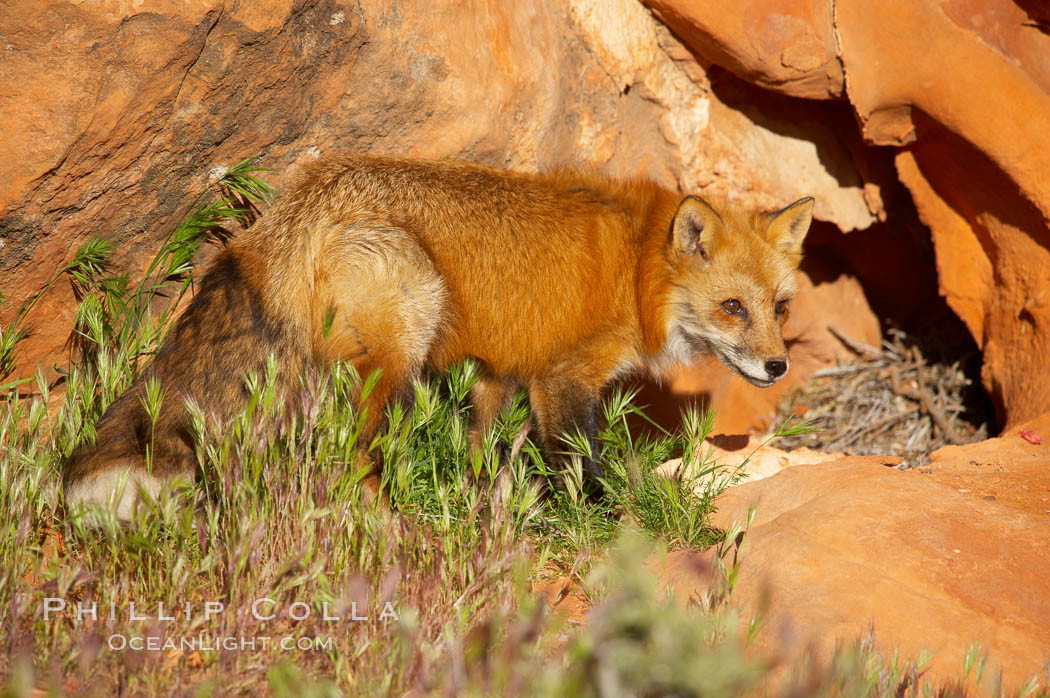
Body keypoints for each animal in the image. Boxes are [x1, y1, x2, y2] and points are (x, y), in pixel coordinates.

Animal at [61, 155, 810, 520]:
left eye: (779, 307)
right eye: (732, 307)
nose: (777, 367)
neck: (636, 271)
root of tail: (303, 197)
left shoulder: (497, 373)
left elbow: (483, 457)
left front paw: (485, 515)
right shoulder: (563, 377)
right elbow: (580, 468)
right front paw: (606, 522)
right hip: (405, 333)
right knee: (352, 460)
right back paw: (392, 529)